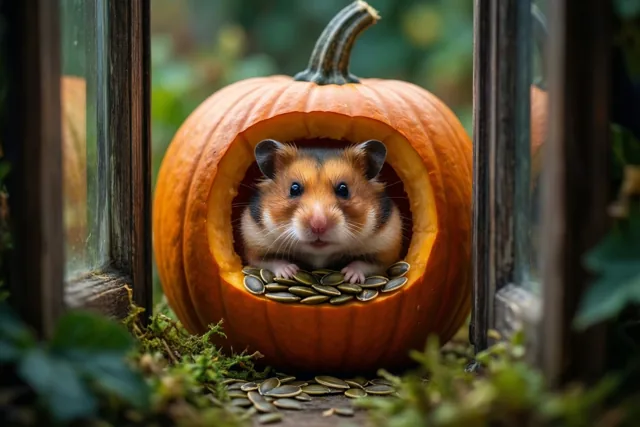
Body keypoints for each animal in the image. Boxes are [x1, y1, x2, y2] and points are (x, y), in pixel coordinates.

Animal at [239, 138, 403, 284]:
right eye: (294, 189)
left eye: (343, 189)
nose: (318, 226)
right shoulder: (254, 241)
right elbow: (269, 261)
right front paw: (289, 272)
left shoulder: (386, 246)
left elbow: (368, 264)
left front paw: (349, 276)